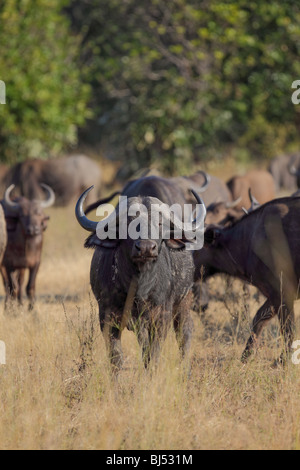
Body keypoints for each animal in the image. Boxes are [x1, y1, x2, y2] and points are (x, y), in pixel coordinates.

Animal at [76, 185, 205, 370]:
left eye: (160, 223)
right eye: (128, 222)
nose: (145, 247)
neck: (138, 286)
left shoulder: (160, 318)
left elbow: (152, 354)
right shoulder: (107, 318)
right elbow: (116, 357)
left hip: (183, 301)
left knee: (184, 332)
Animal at [193, 196, 300, 366]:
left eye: (194, 248)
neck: (250, 239)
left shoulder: (283, 292)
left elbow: (287, 328)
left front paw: (283, 360)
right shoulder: (274, 295)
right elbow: (258, 318)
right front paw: (246, 355)